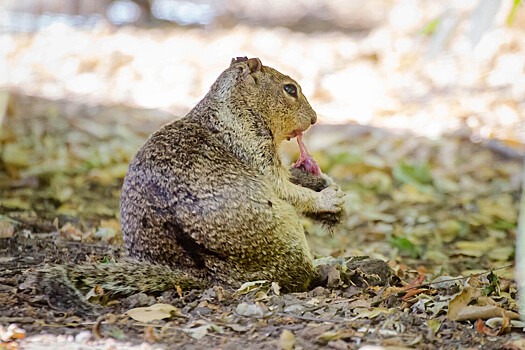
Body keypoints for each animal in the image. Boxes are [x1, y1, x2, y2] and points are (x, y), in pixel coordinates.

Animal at [32, 56, 346, 300]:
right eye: (290, 89)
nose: (315, 118)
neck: (235, 108)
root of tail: (201, 275)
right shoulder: (254, 150)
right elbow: (284, 188)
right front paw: (327, 198)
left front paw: (321, 182)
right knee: (297, 278)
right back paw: (327, 271)